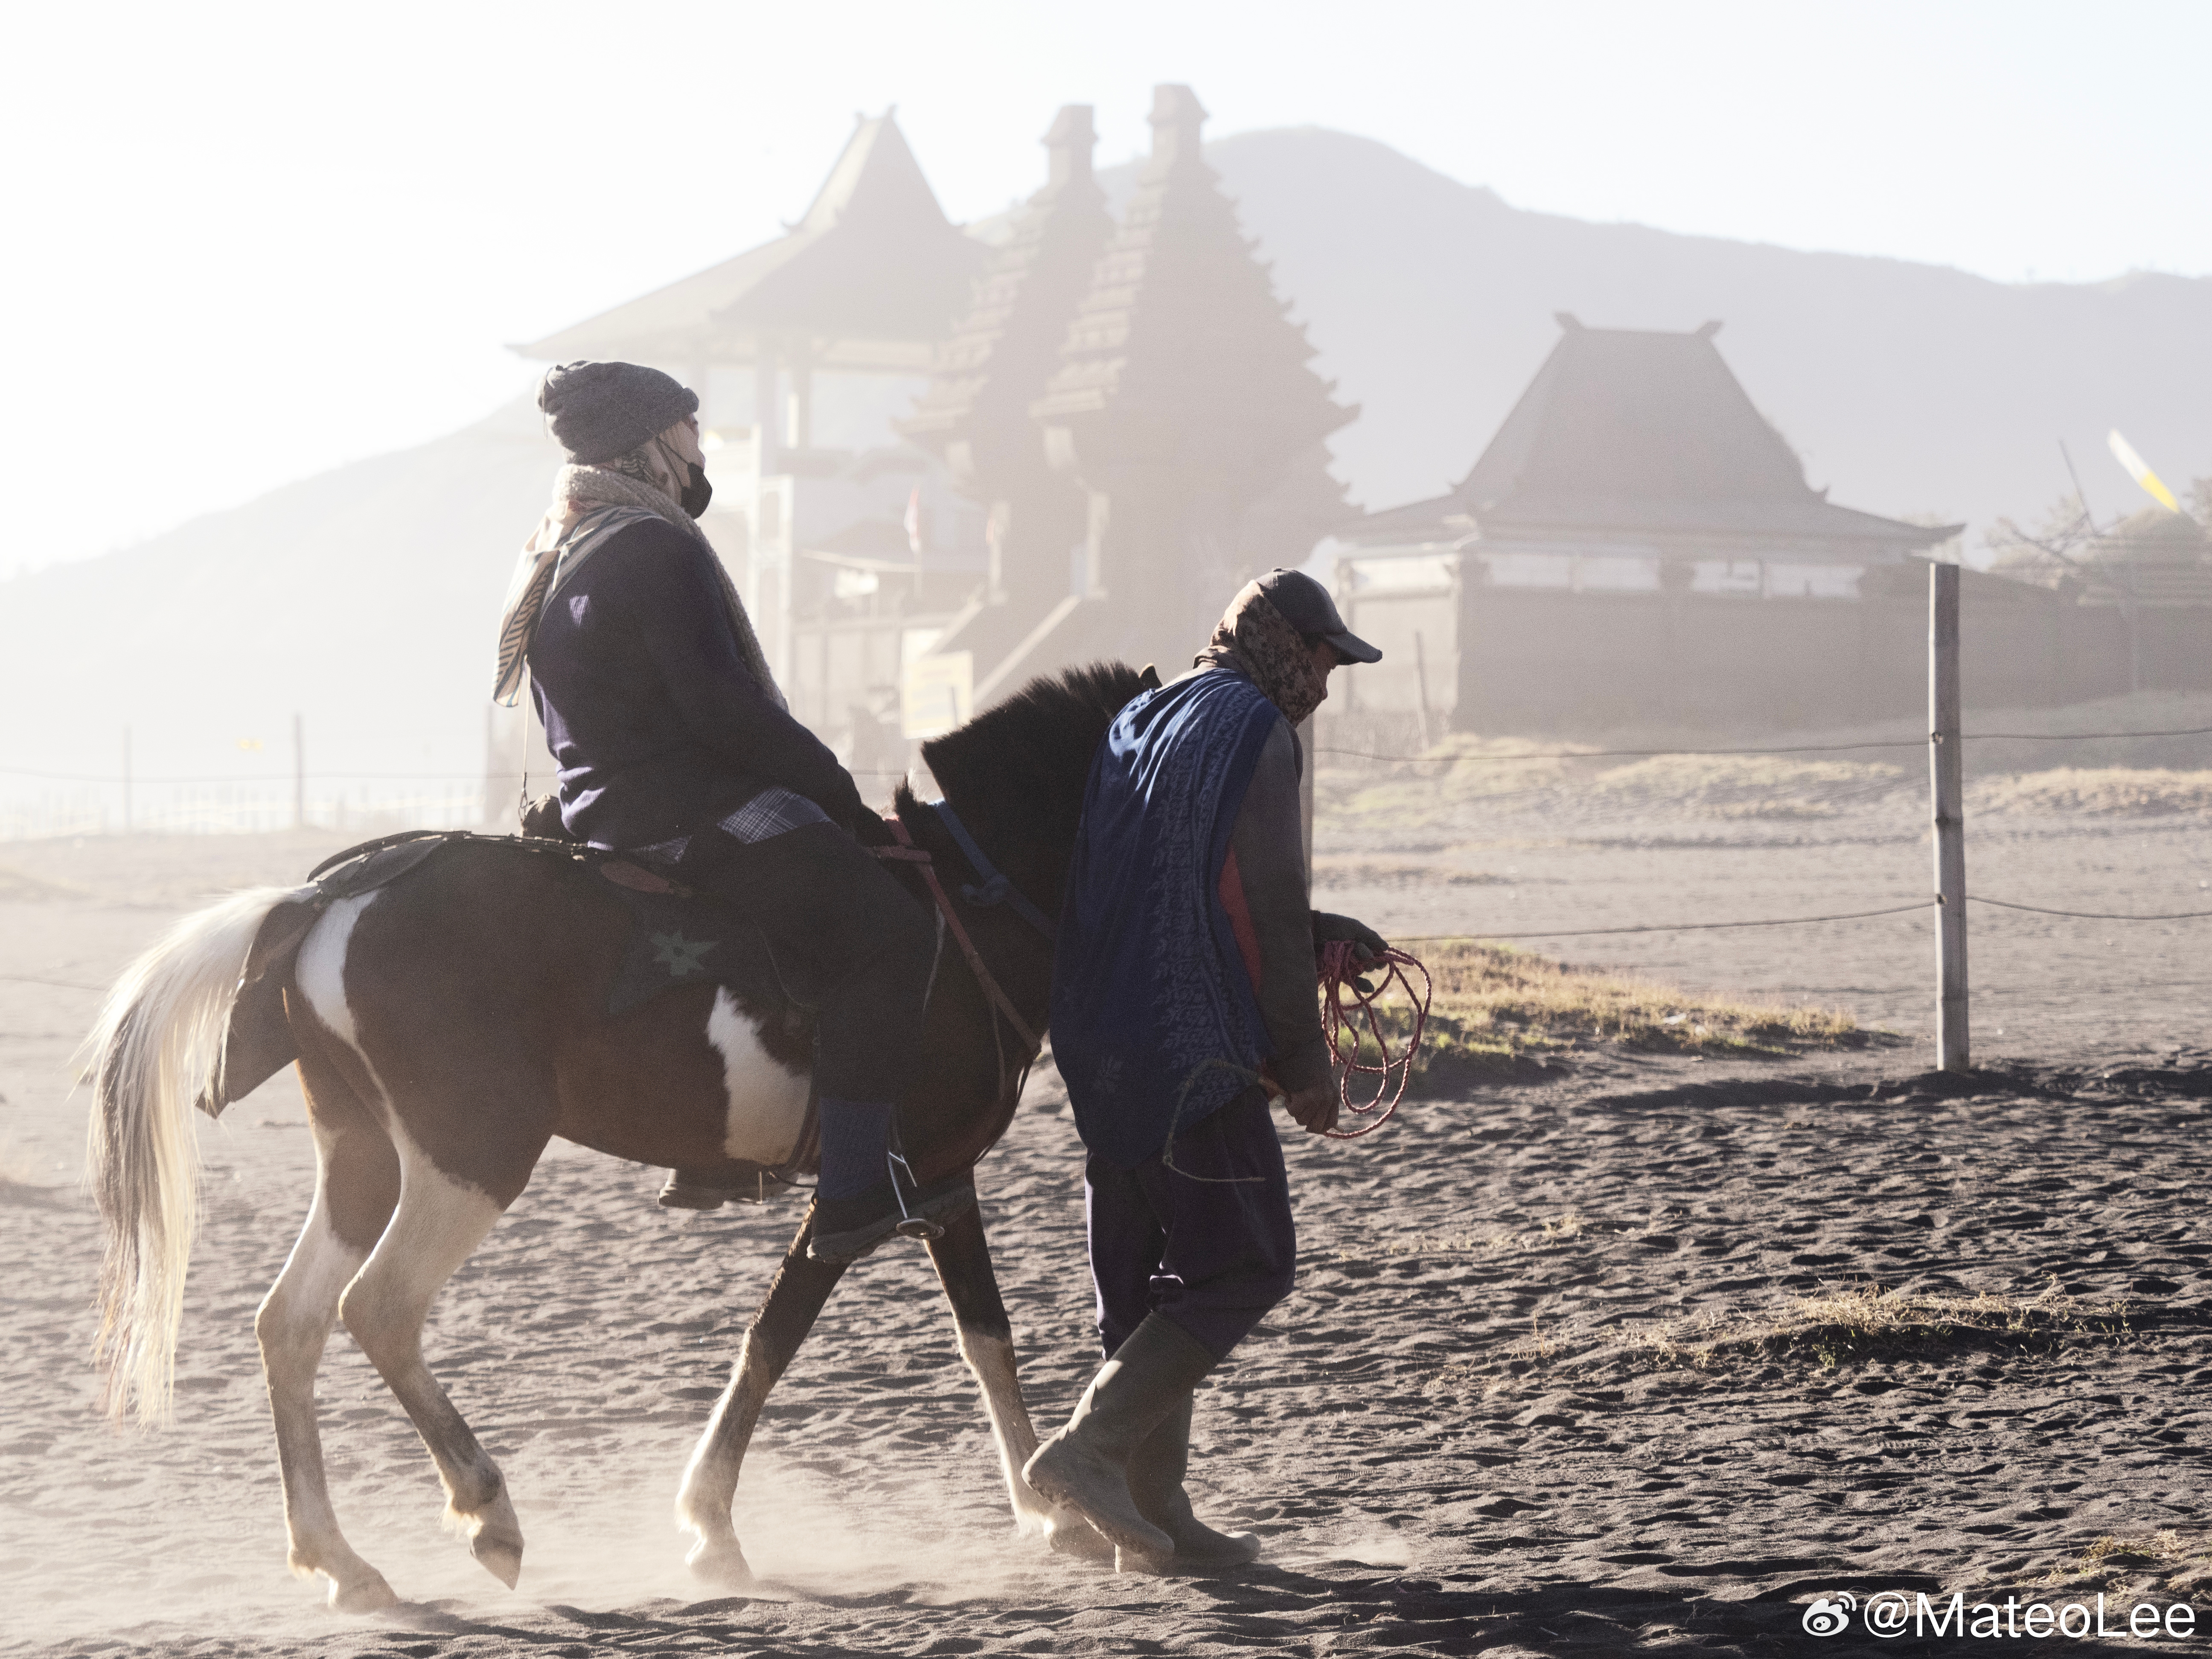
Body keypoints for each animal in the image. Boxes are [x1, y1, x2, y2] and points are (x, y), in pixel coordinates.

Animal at [78, 659, 1150, 1610]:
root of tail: (324, 902)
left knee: (290, 1323)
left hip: (365, 1160)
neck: (968, 905)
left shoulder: (940, 1174)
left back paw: (343, 1560)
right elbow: (779, 1334)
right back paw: (486, 1508)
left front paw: (1046, 1508)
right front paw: (711, 1521)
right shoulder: (873, 1189)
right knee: (377, 1308)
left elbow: (981, 1336)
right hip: (472, 1158)